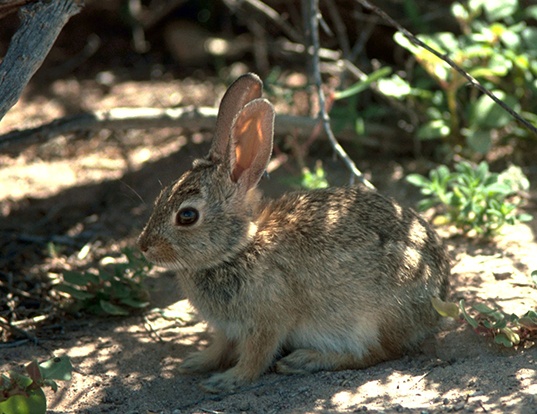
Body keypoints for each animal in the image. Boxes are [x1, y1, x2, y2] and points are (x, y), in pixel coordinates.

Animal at [137, 73, 448, 392]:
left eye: (187, 216)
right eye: (162, 195)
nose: (144, 246)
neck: (239, 248)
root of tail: (438, 294)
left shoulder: (266, 322)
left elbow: (256, 358)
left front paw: (226, 381)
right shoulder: (227, 329)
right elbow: (219, 348)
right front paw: (195, 363)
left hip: (372, 319)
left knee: (377, 353)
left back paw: (304, 360)